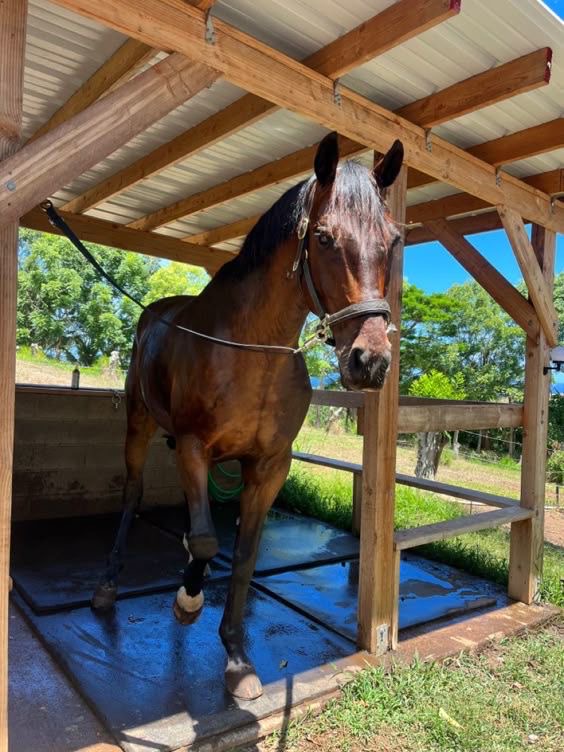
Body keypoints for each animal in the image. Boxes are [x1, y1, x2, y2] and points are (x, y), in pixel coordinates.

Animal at [91, 132, 404, 700]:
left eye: (392, 240)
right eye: (323, 238)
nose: (369, 361)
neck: (250, 350)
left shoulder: (269, 466)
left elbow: (242, 554)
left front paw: (236, 659)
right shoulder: (195, 448)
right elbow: (207, 540)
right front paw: (187, 602)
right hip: (140, 427)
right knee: (133, 495)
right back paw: (108, 586)